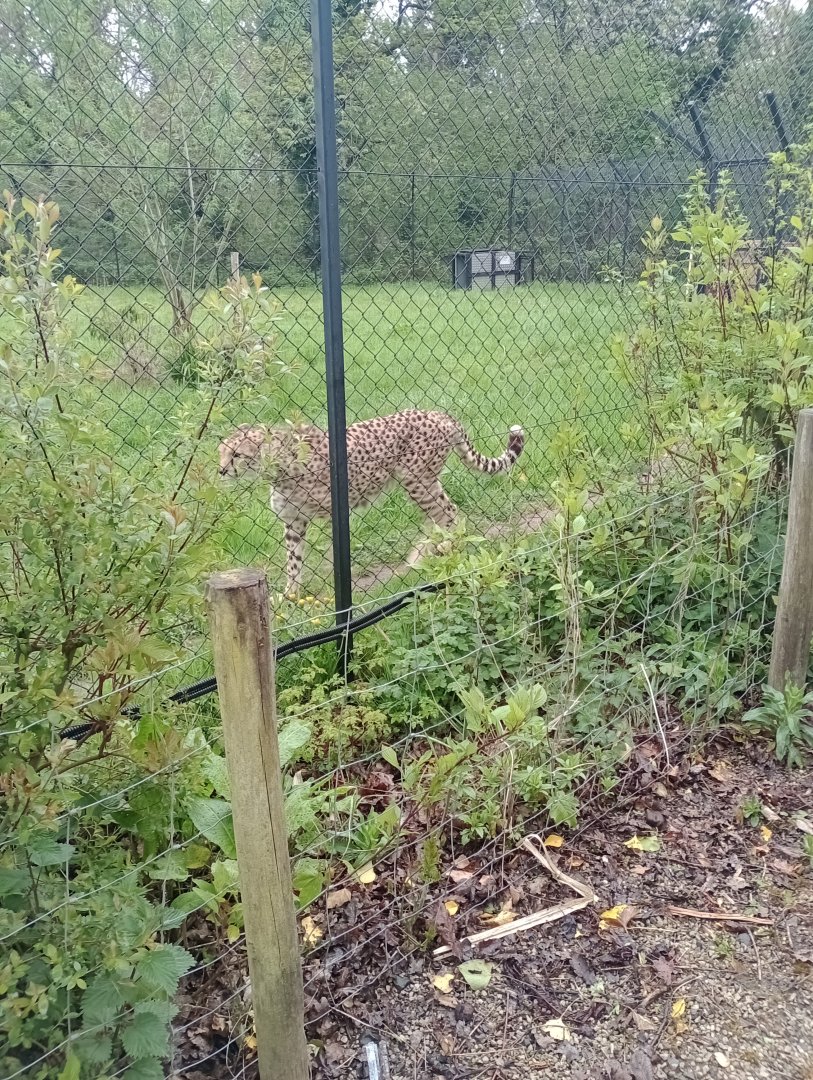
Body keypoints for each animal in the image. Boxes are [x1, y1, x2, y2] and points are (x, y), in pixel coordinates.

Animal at [218, 409, 525, 595]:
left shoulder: (335, 512)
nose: (221, 470)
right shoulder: (294, 520)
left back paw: (442, 551)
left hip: (416, 478)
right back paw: (424, 555)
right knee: (440, 515)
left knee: (449, 512)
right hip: (422, 481)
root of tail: (439, 414)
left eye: (237, 454)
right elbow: (293, 562)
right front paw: (289, 597)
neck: (279, 466)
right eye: (221, 451)